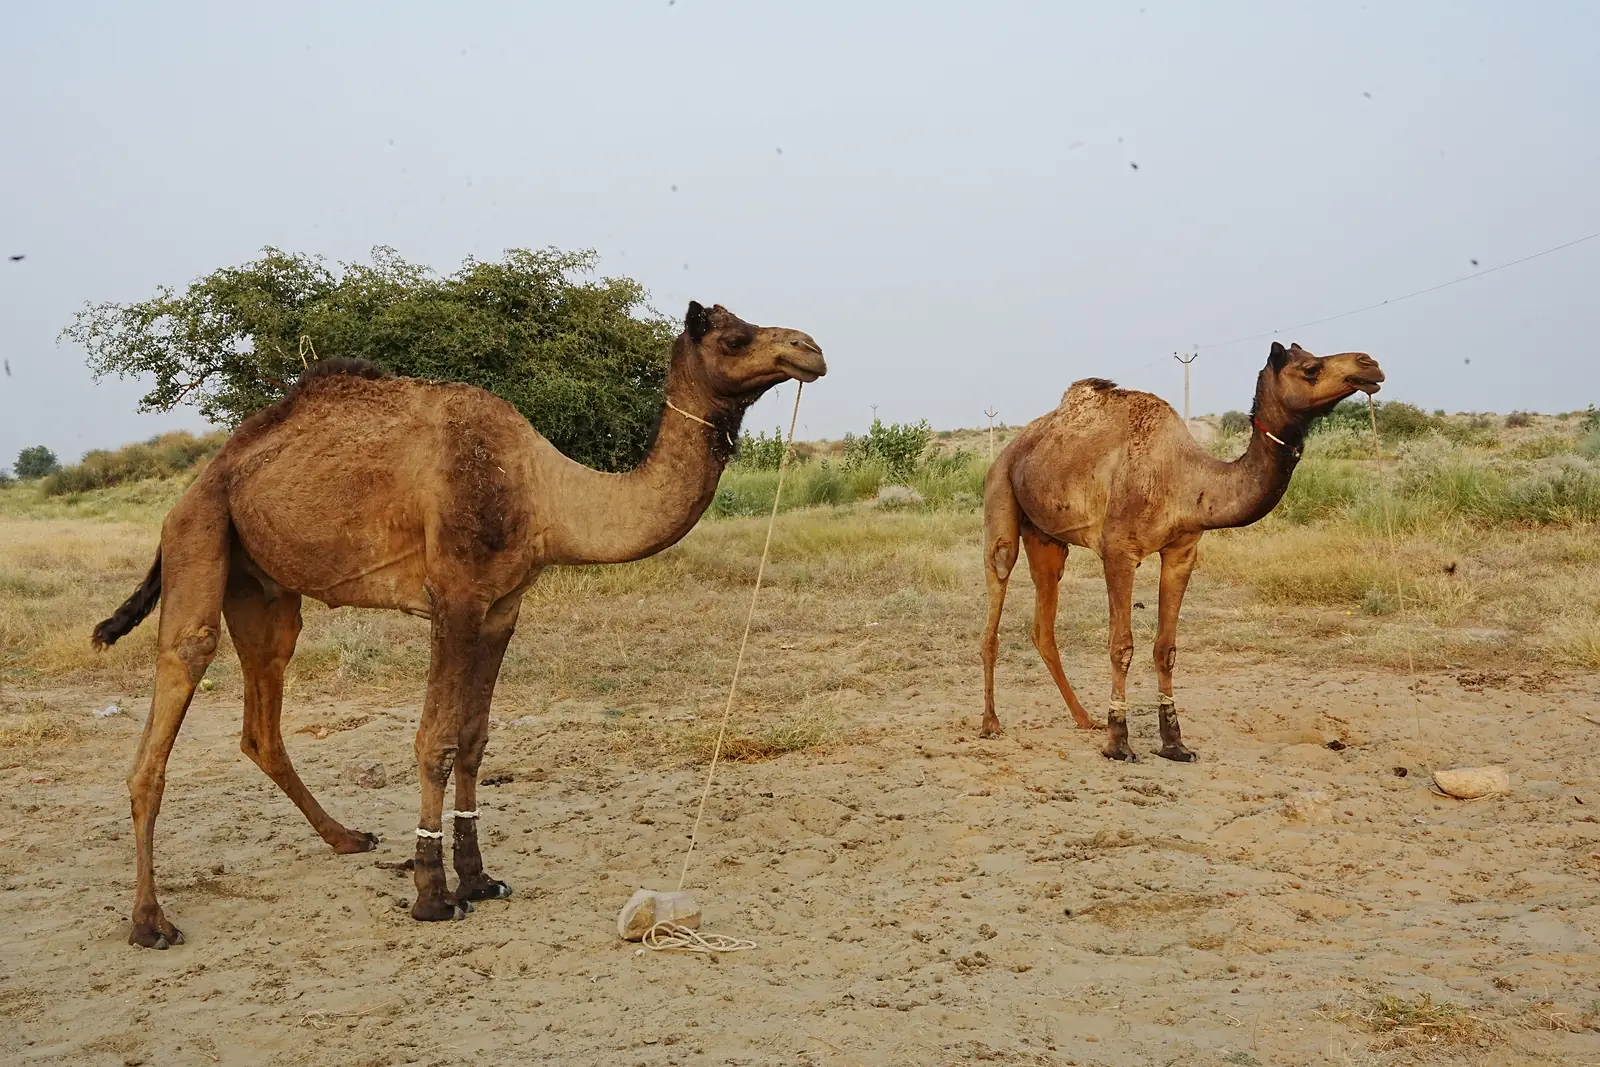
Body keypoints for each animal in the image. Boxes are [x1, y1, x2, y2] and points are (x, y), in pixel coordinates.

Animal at [91, 301, 825, 949]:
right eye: (733, 337)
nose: (809, 349)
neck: (545, 491)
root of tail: (205, 474)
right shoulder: (455, 597)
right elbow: (434, 742)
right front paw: (431, 894)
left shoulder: (502, 608)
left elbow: (474, 739)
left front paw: (479, 879)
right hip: (198, 534)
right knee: (179, 676)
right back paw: (150, 921)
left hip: (265, 588)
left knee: (262, 719)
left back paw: (347, 837)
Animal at [979, 341, 1384, 760]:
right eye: (1310, 369)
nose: (1370, 364)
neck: (1185, 480)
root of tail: (1013, 447)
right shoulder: (1119, 551)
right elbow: (1121, 645)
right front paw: (1118, 743)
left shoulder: (1183, 551)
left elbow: (1166, 648)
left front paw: (1174, 743)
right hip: (1001, 495)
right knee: (997, 587)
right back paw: (991, 724)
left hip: (1047, 537)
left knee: (1044, 625)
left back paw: (1084, 719)